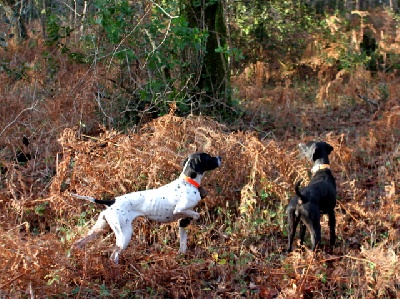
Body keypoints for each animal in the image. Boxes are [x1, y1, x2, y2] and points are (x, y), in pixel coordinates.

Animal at [72, 154, 222, 264]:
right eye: (208, 157)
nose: (219, 157)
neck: (188, 182)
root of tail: (111, 201)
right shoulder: (180, 210)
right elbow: (196, 214)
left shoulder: (183, 221)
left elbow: (183, 243)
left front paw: (181, 256)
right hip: (124, 234)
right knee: (114, 255)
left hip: (98, 228)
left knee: (78, 242)